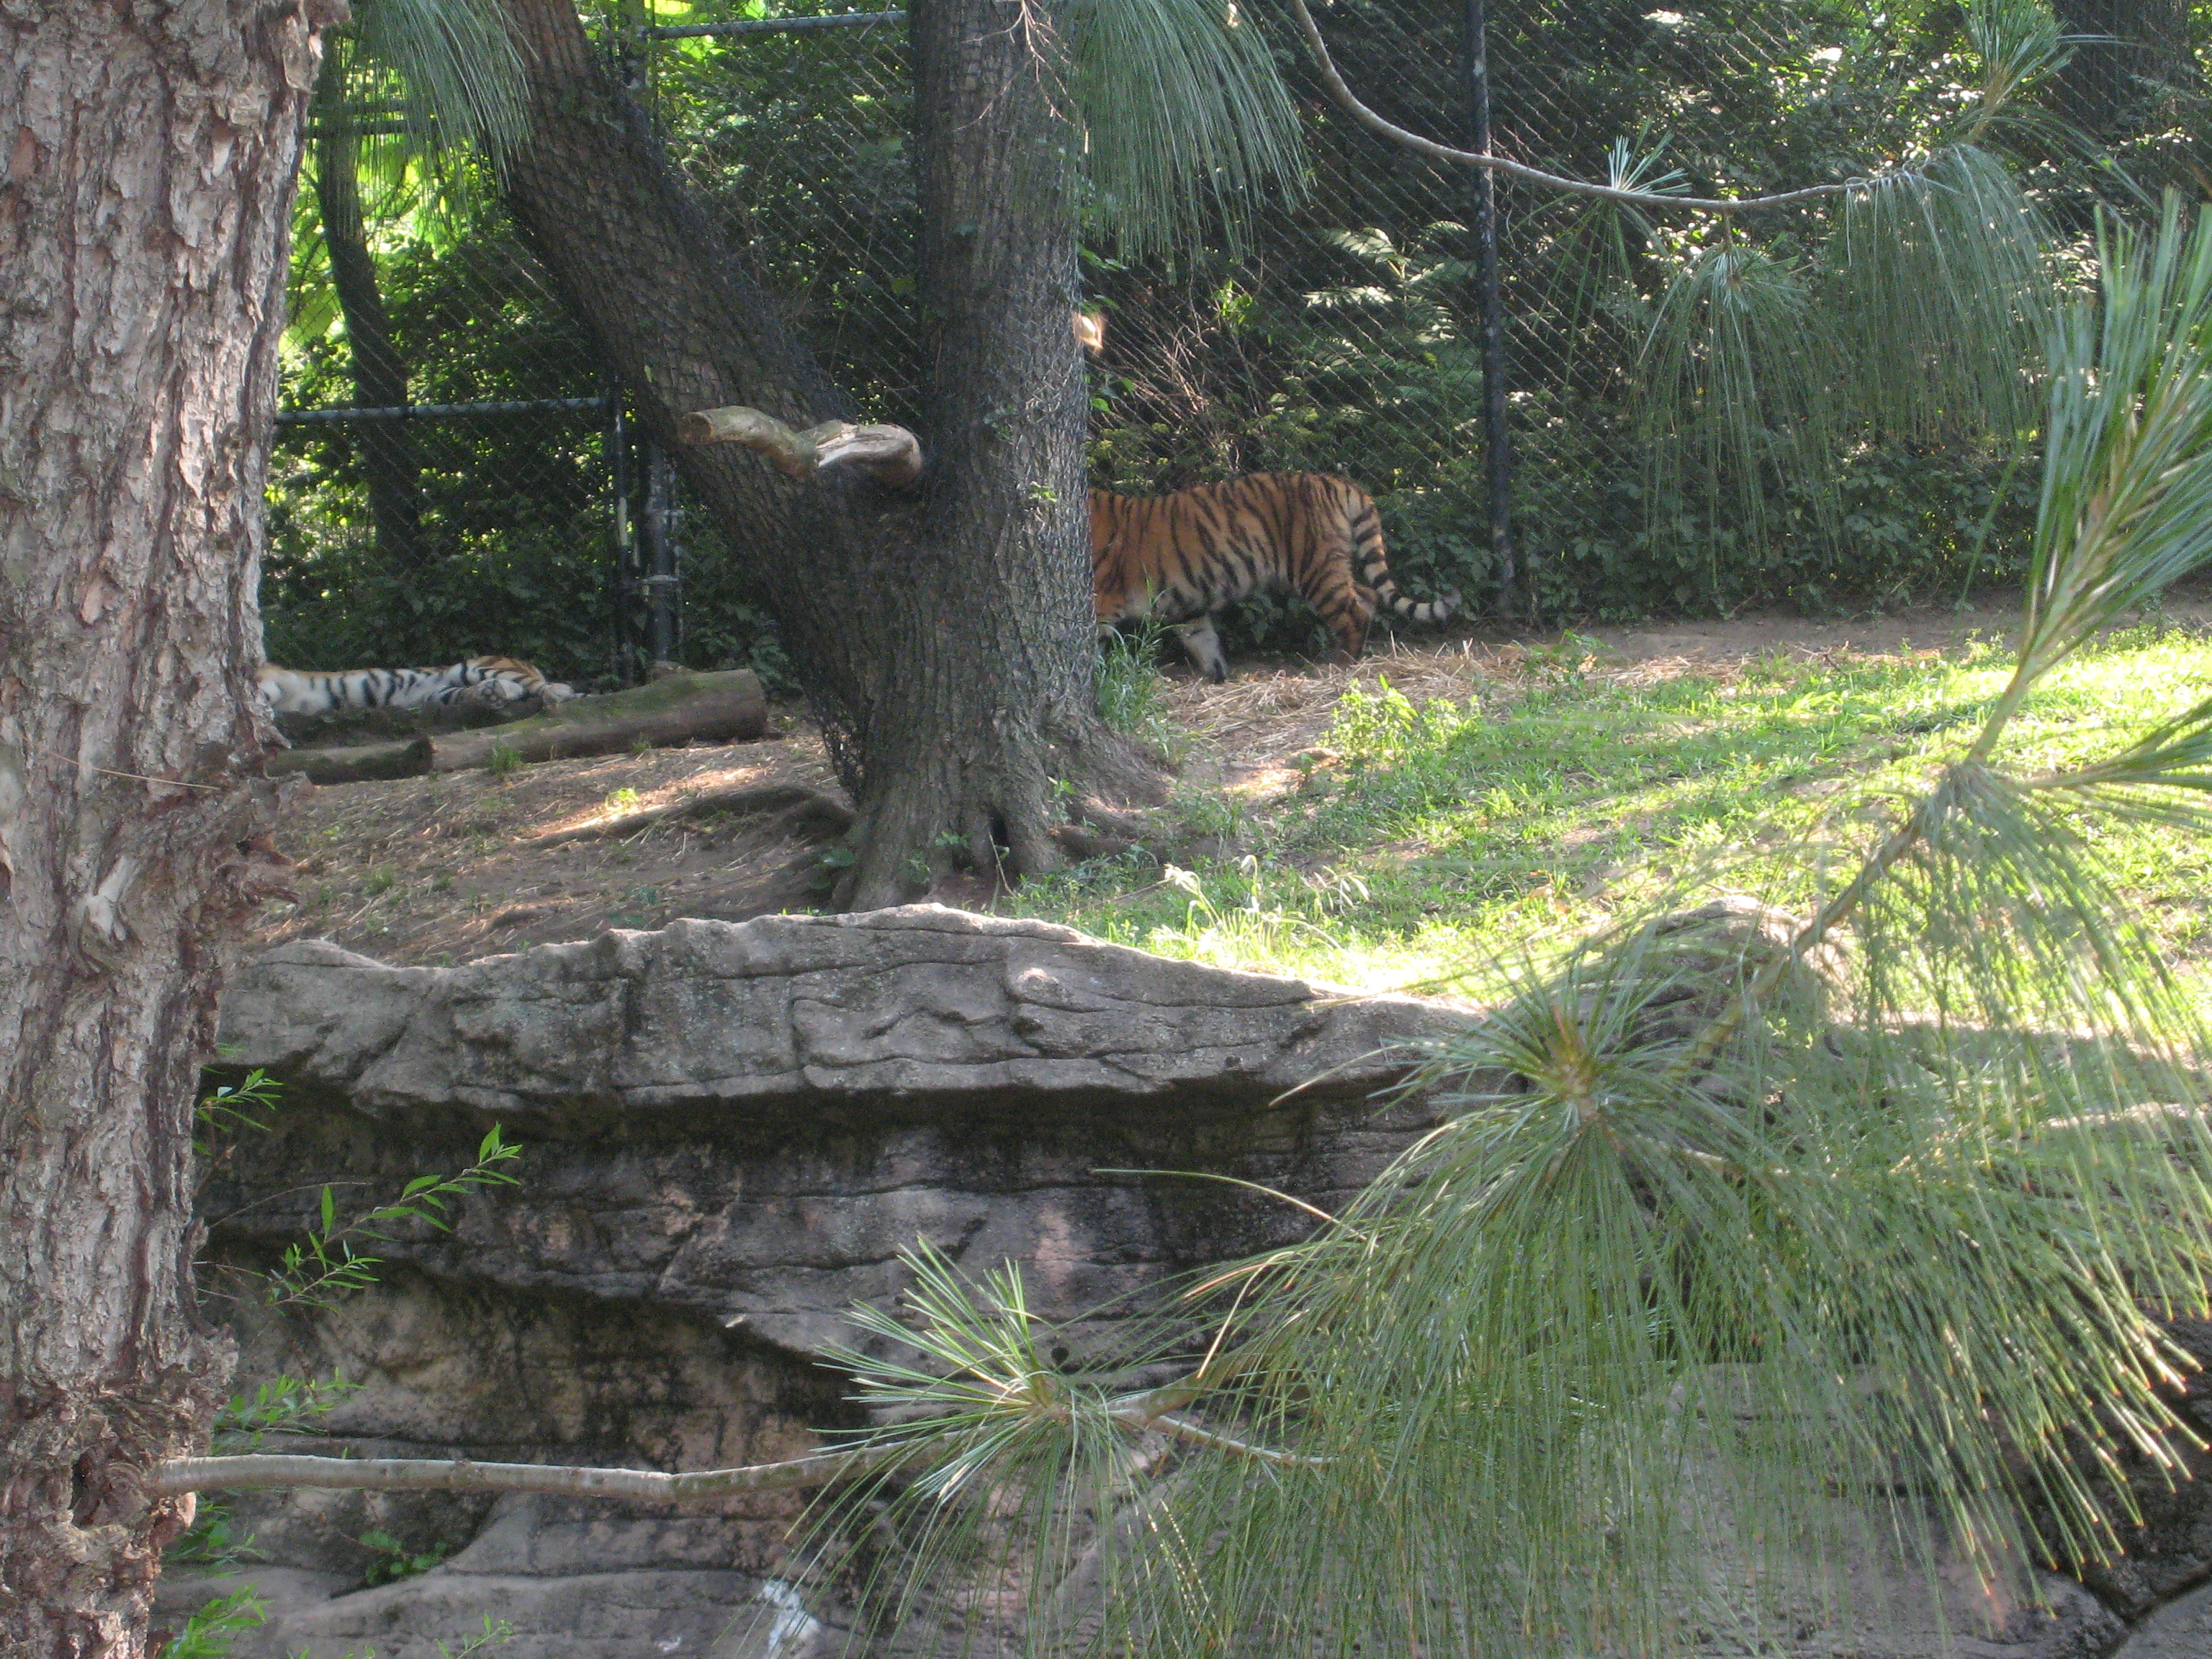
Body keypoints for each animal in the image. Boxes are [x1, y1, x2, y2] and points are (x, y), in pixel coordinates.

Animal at [1091, 472, 1460, 683]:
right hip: (1328, 564)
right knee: (1366, 595)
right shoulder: (1188, 604)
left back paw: (1338, 666)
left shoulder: (1101, 604)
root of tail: (1339, 482)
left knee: (1352, 612)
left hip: (1314, 567)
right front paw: (1218, 676)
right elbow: (1203, 640)